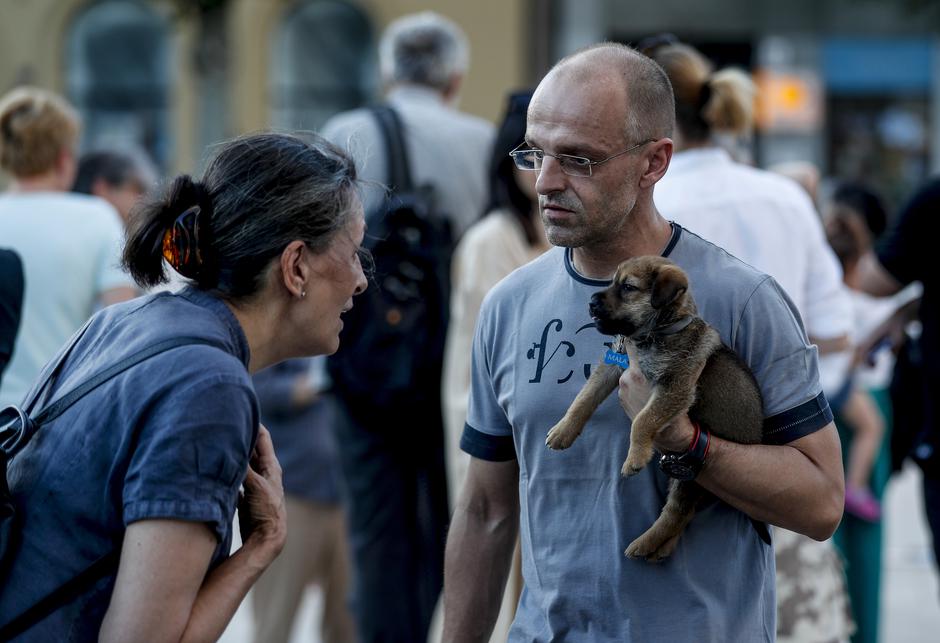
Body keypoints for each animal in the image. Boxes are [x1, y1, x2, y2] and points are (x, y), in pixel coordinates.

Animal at [544, 256, 764, 564]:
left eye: (628, 287)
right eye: (613, 282)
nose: (590, 302)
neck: (655, 334)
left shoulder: (674, 386)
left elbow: (642, 420)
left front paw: (634, 458)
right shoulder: (614, 366)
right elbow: (585, 397)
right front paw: (563, 430)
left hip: (689, 477)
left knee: (676, 513)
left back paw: (643, 544)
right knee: (684, 515)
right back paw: (659, 548)